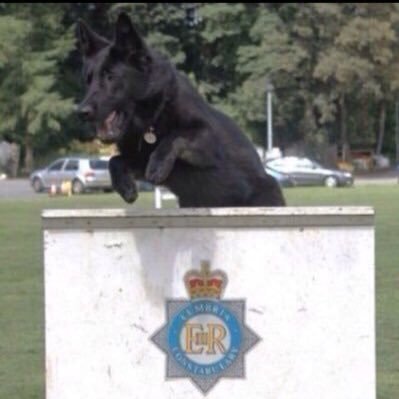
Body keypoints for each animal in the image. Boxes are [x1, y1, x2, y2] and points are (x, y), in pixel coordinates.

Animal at [76, 14, 286, 208]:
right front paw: (125, 186)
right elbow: (114, 160)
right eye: (88, 80)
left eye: (110, 77)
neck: (152, 120)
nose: (82, 112)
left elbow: (176, 136)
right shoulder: (139, 159)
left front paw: (158, 164)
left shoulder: (208, 139)